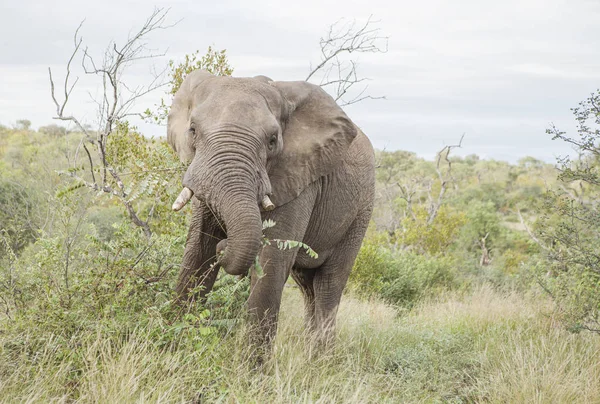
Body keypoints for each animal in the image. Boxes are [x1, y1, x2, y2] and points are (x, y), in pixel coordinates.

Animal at [168, 69, 376, 348]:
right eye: (192, 130)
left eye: (272, 141)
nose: (224, 245)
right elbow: (197, 253)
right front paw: (173, 344)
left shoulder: (300, 178)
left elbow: (270, 265)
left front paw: (249, 363)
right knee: (307, 286)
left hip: (361, 212)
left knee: (329, 284)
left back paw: (321, 357)